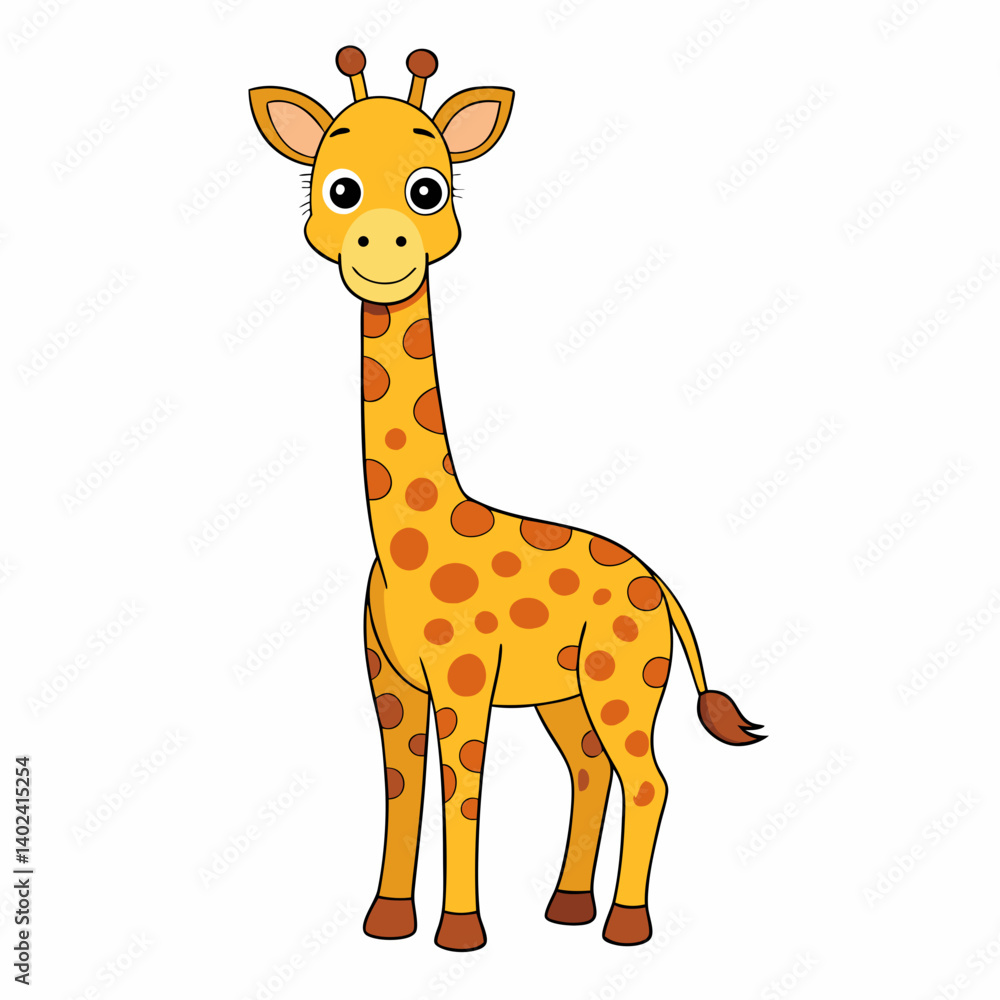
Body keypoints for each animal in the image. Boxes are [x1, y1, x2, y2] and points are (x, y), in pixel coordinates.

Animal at [249, 46, 766, 952]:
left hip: (624, 678)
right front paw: (387, 920)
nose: (382, 245)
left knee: (648, 778)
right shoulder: (390, 682)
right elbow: (401, 790)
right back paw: (567, 907)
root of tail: (662, 586)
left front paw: (459, 932)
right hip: (566, 692)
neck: (407, 539)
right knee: (591, 769)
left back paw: (625, 924)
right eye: (338, 187)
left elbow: (464, 794)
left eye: (430, 188)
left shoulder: (465, 678)